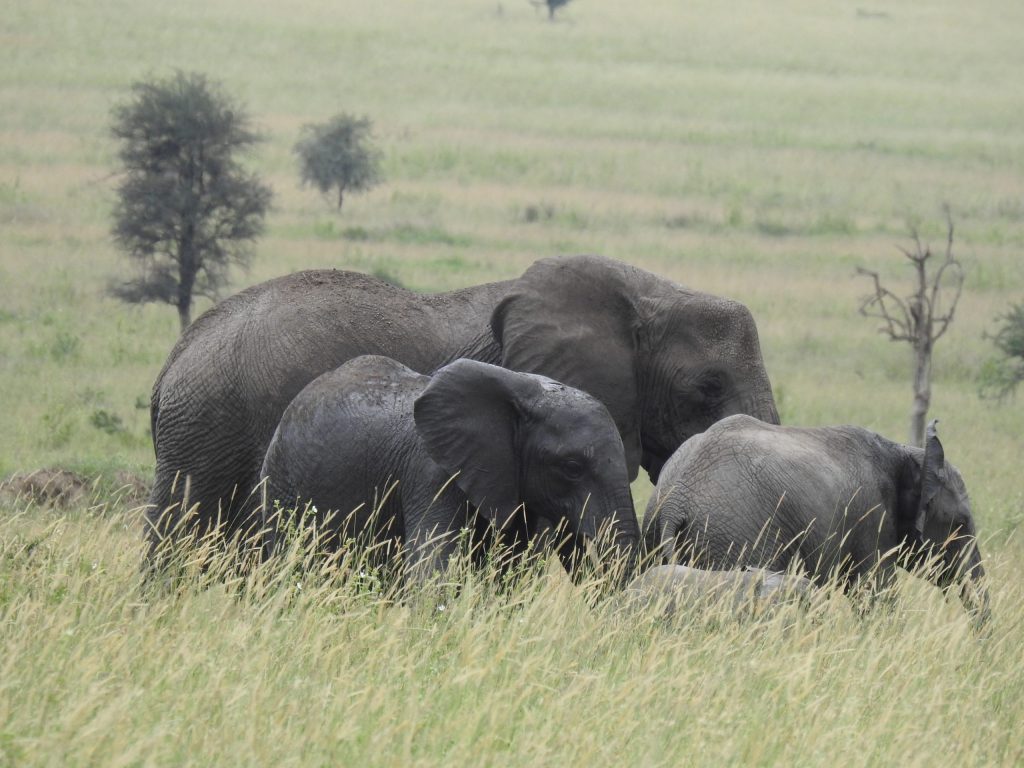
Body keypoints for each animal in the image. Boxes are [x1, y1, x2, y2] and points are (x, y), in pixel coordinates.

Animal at [642, 416, 989, 625]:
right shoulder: (870, 518)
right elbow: (876, 595)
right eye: (960, 524)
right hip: (733, 533)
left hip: (659, 529)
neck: (908, 453)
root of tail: (675, 499)